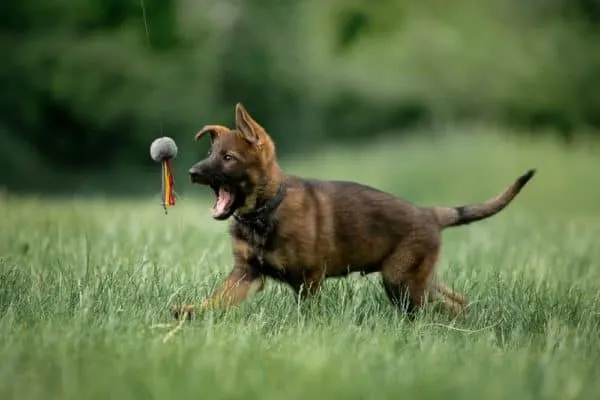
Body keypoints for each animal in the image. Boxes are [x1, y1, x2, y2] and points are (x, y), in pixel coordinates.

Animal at [172, 104, 536, 320]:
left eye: (228, 158)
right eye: (210, 153)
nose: (191, 172)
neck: (264, 211)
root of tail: (429, 213)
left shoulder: (309, 278)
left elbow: (306, 312)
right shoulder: (245, 273)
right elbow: (217, 299)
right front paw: (189, 311)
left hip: (401, 280)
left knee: (428, 310)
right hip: (418, 277)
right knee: (456, 302)